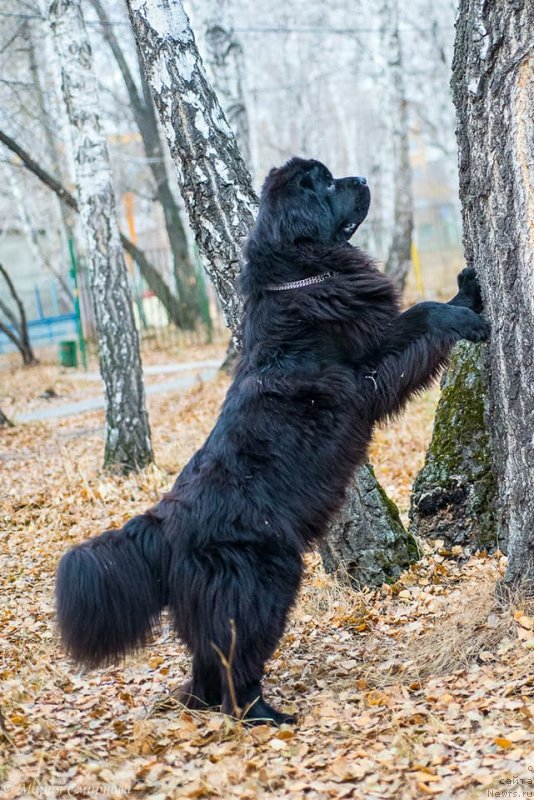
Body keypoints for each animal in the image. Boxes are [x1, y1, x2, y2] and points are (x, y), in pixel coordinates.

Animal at [55, 156, 490, 724]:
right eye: (325, 184)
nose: (362, 179)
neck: (300, 280)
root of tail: (164, 525)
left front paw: (470, 283)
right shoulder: (368, 368)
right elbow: (422, 312)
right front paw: (467, 319)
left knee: (205, 668)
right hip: (264, 581)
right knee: (236, 662)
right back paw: (266, 715)